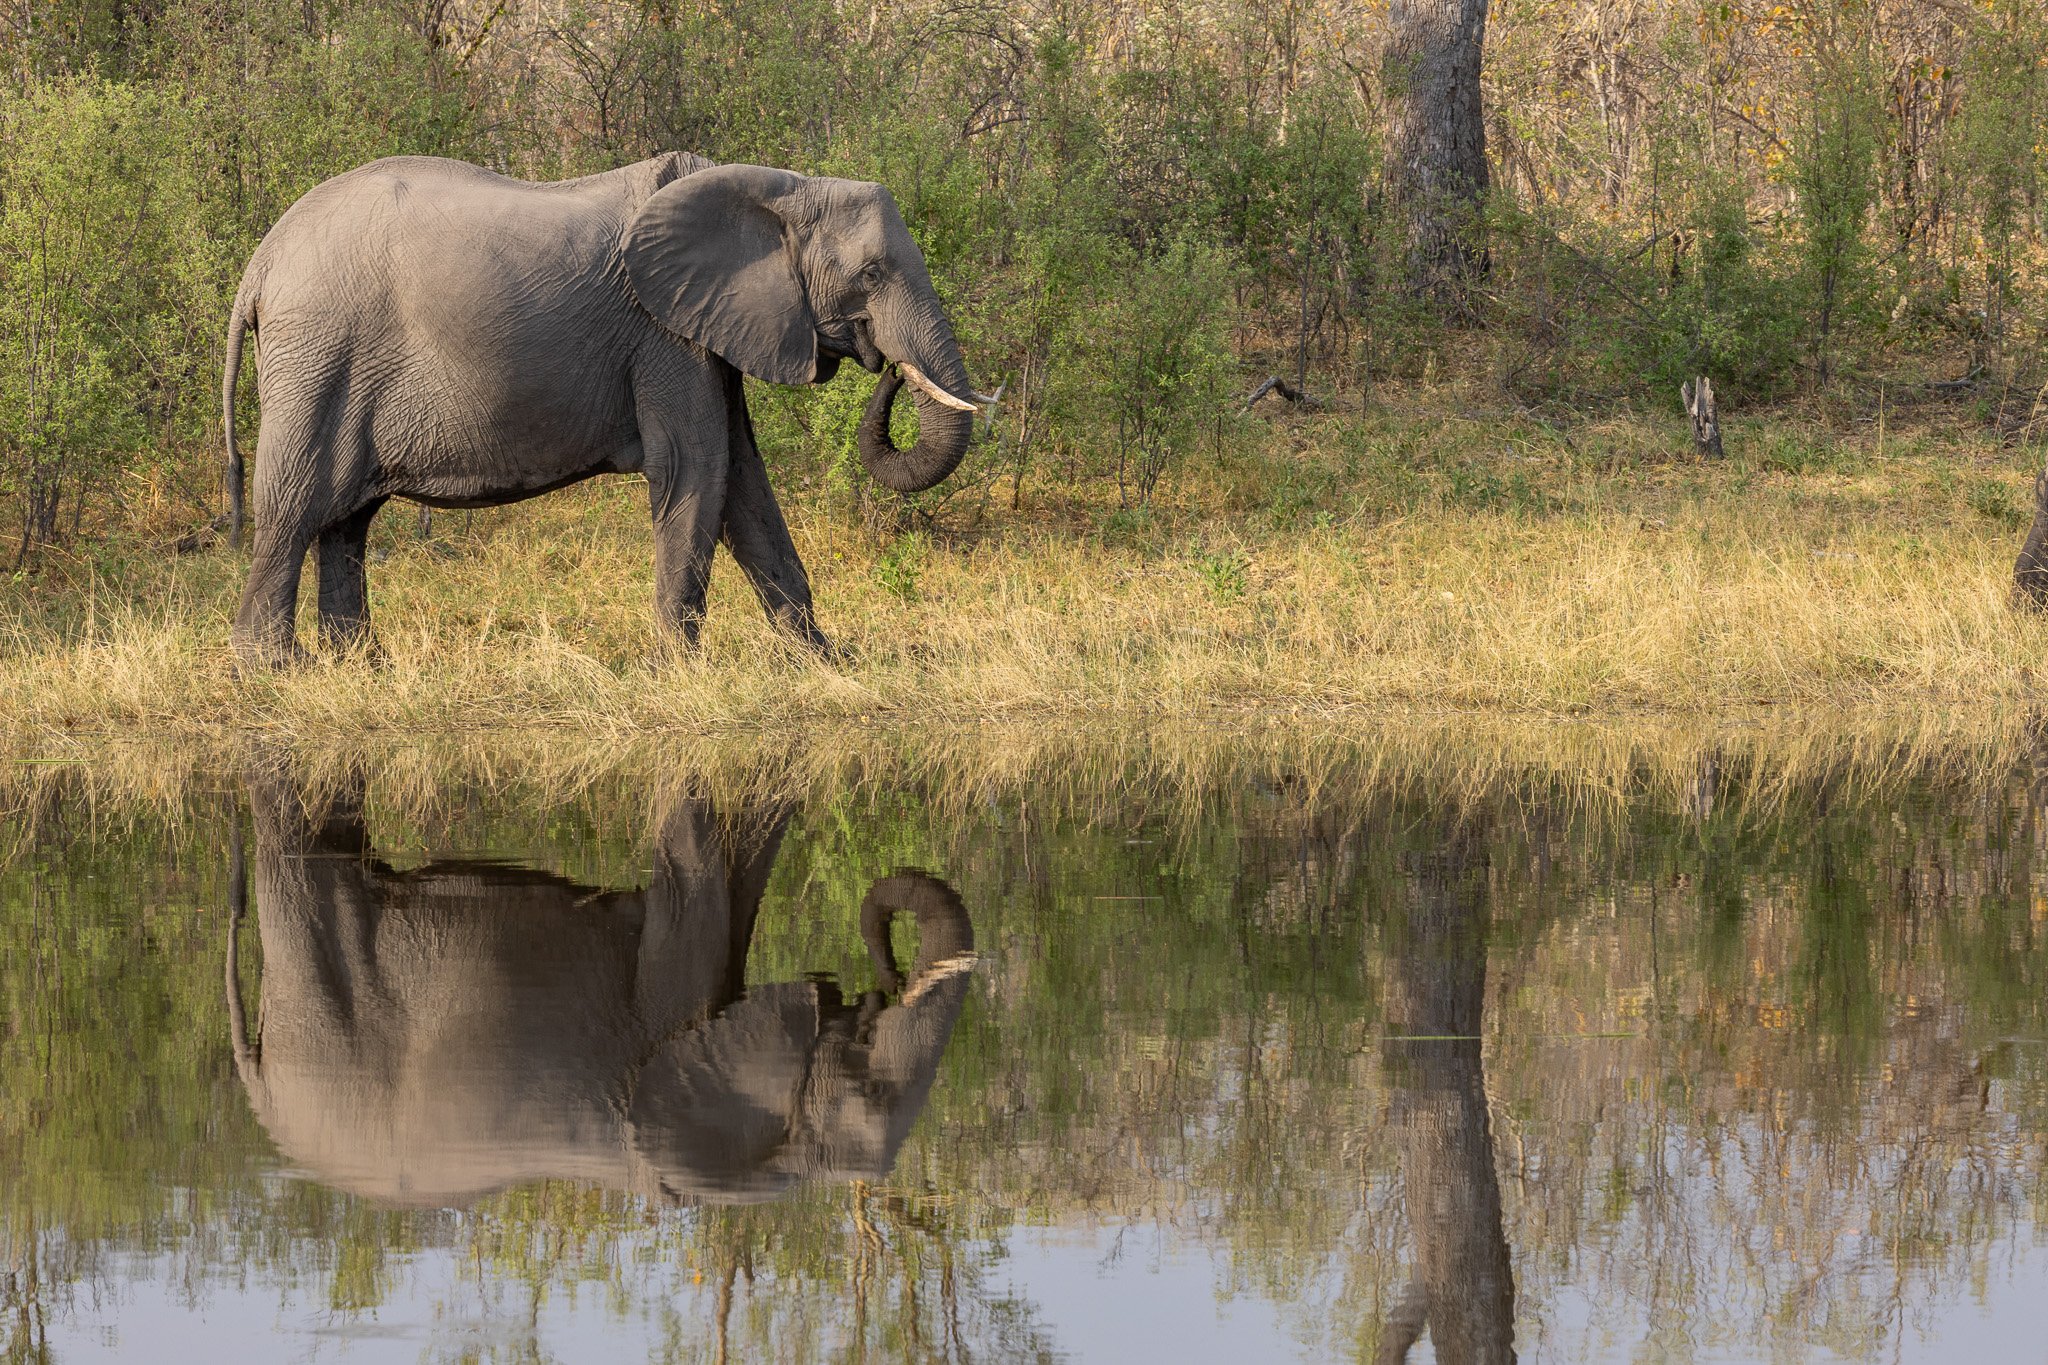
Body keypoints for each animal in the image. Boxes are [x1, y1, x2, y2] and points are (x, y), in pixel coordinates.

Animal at [221, 152, 994, 666]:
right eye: (872, 274)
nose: (888, 368)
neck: (781, 186)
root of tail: (259, 265)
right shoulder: (665, 335)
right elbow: (699, 469)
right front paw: (680, 673)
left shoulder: (705, 331)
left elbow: (746, 485)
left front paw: (828, 666)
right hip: (319, 357)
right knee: (294, 508)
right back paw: (276, 670)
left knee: (347, 522)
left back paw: (360, 667)